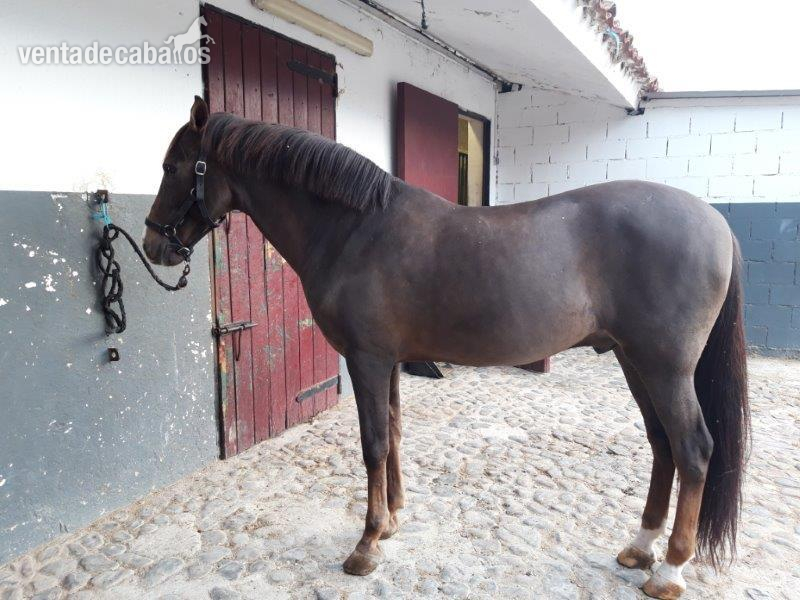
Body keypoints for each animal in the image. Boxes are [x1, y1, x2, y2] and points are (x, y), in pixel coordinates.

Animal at [143, 97, 749, 600]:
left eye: (173, 167)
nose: (152, 244)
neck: (354, 229)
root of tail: (718, 223)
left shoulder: (366, 360)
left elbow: (372, 444)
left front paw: (366, 546)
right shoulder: (386, 362)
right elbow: (393, 434)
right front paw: (390, 521)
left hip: (665, 367)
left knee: (692, 448)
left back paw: (669, 571)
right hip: (632, 360)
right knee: (662, 444)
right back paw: (640, 548)